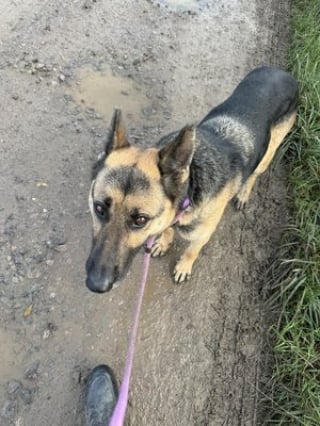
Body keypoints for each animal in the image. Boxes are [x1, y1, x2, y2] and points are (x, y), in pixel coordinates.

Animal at [85, 66, 298, 292]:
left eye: (140, 220)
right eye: (99, 208)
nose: (95, 284)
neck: (191, 188)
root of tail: (282, 72)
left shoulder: (202, 234)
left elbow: (191, 251)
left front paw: (183, 266)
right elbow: (167, 231)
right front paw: (163, 241)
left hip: (268, 153)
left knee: (254, 174)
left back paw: (243, 193)